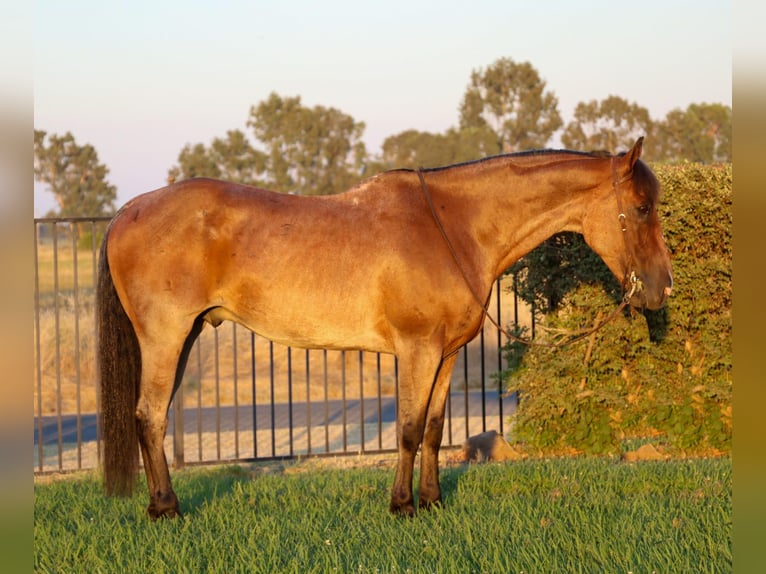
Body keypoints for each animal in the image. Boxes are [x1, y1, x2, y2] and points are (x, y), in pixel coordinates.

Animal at [97, 137, 672, 519]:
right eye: (642, 207)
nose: (662, 288)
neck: (454, 226)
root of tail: (129, 209)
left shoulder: (447, 353)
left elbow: (436, 428)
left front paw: (433, 502)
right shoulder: (417, 350)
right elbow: (410, 428)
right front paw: (402, 506)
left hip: (186, 335)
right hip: (166, 338)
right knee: (149, 417)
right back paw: (166, 510)